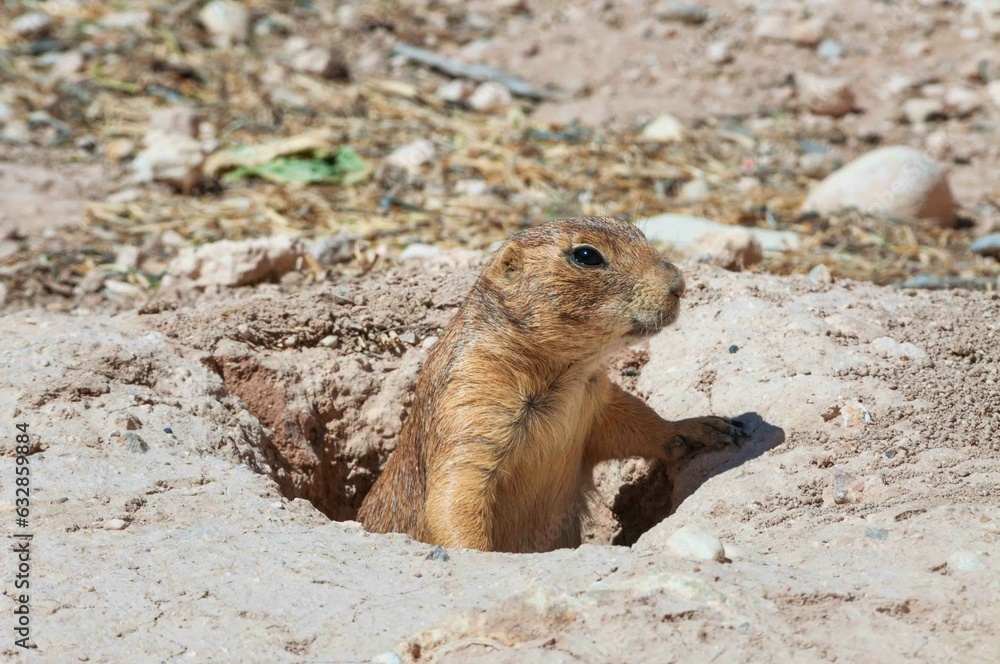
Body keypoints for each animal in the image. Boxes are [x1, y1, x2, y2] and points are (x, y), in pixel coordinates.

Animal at [358, 216, 746, 553]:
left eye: (638, 231)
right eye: (586, 255)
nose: (679, 285)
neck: (564, 374)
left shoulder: (596, 400)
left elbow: (637, 420)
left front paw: (708, 427)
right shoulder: (470, 397)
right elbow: (454, 494)